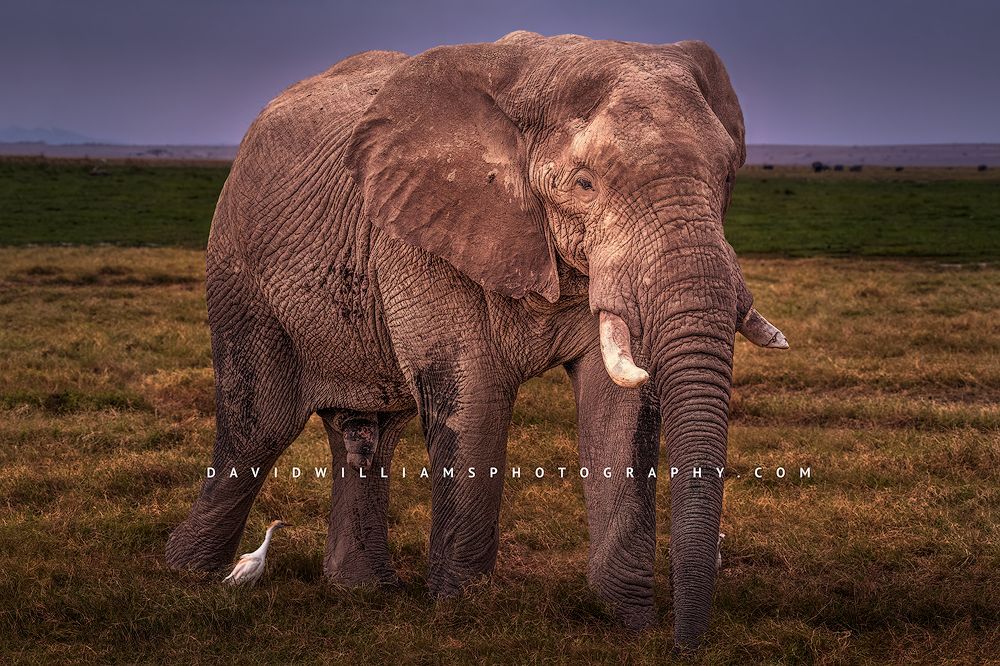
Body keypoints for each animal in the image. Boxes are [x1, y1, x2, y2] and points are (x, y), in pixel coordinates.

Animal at [165, 30, 788, 648]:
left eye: (728, 177)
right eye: (584, 183)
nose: (687, 644)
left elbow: (619, 411)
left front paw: (626, 623)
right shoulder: (421, 231)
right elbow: (474, 395)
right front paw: (465, 614)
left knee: (367, 434)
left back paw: (360, 591)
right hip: (239, 271)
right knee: (259, 425)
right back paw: (190, 574)